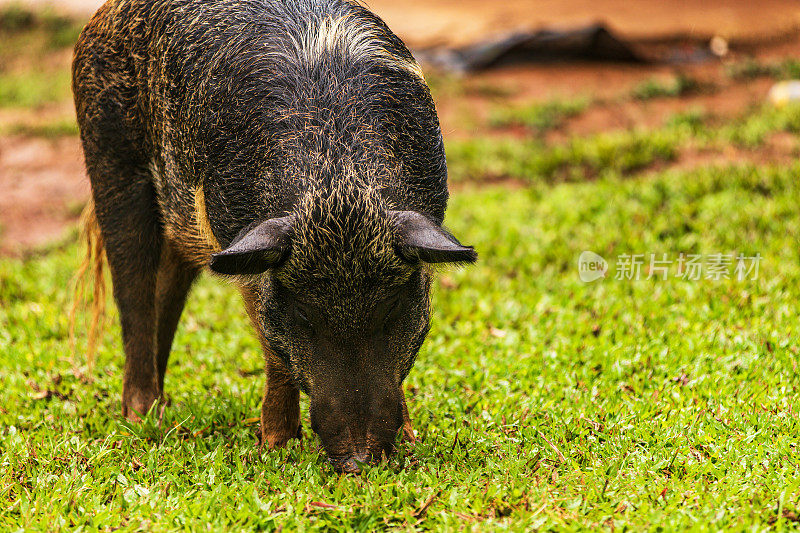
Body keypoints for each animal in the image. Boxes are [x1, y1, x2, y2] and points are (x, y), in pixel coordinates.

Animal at [72, 0, 476, 474]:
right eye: (303, 313)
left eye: (392, 307)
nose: (358, 461)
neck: (336, 182)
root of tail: (102, 17)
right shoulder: (244, 249)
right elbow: (272, 345)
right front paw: (276, 446)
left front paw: (411, 442)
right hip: (109, 156)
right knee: (132, 289)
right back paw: (144, 417)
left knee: (167, 287)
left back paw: (164, 407)